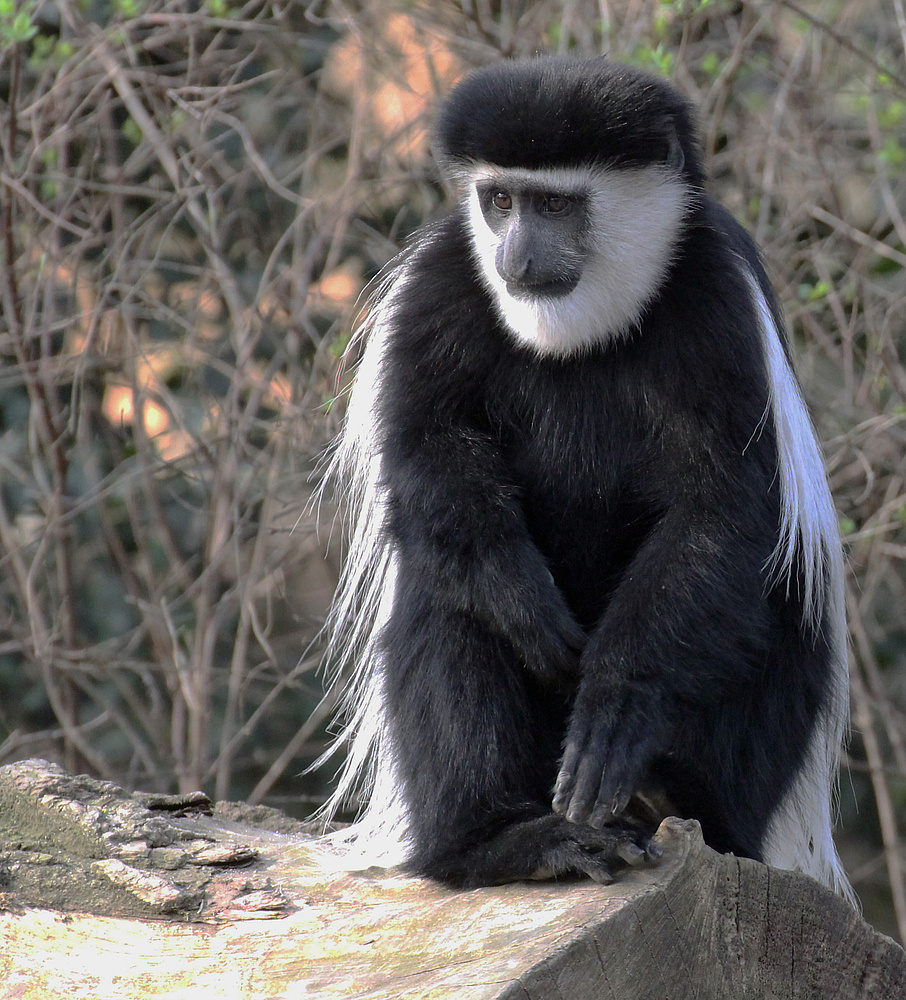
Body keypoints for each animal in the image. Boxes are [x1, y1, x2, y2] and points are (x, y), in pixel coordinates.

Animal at [322, 52, 852, 900]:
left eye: (555, 204)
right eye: (500, 200)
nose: (514, 258)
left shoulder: (716, 296)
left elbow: (720, 507)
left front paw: (615, 705)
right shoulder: (441, 282)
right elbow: (425, 447)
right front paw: (526, 606)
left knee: (766, 608)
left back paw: (673, 798)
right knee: (445, 597)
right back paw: (506, 841)